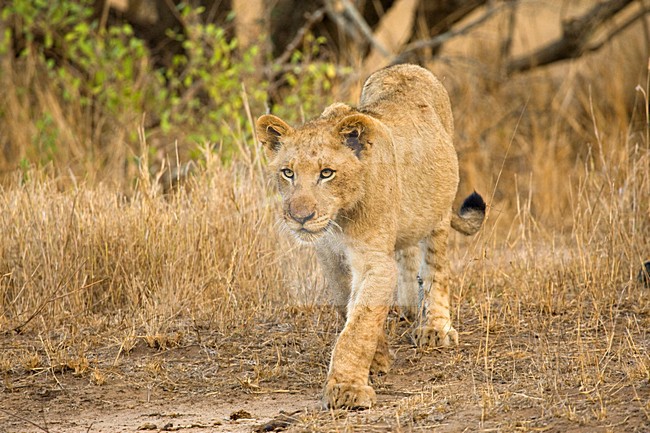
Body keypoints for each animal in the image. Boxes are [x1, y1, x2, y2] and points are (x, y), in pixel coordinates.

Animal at [256, 64, 486, 410]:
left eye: (327, 173)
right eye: (288, 172)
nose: (300, 217)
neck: (339, 220)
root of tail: (405, 66)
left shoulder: (373, 259)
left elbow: (358, 325)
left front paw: (347, 390)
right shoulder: (331, 259)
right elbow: (352, 309)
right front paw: (377, 358)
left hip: (438, 212)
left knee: (436, 268)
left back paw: (435, 328)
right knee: (407, 252)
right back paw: (408, 307)